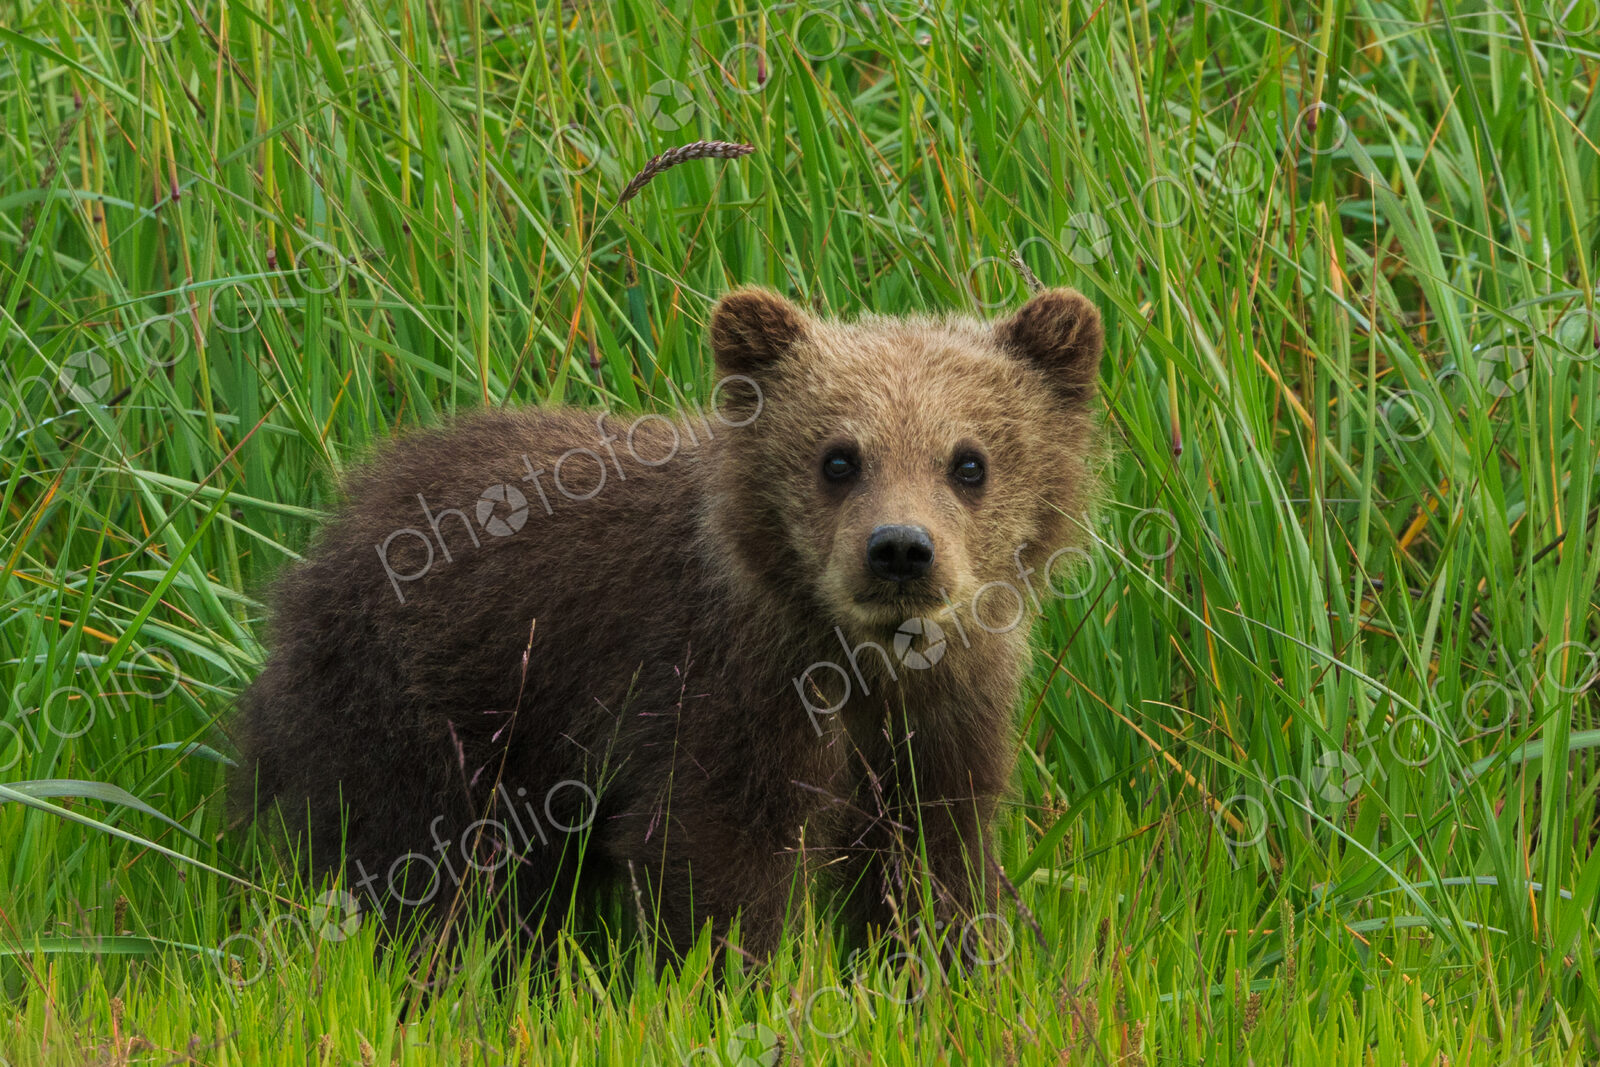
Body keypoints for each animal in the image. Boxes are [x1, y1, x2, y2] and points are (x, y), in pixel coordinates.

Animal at [231, 286, 1106, 967]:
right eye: (838, 457)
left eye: (969, 460)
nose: (899, 550)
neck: (862, 658)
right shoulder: (724, 686)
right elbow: (714, 853)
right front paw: (729, 983)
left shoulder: (946, 711)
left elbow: (932, 858)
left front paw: (938, 972)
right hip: (422, 706)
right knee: (424, 861)